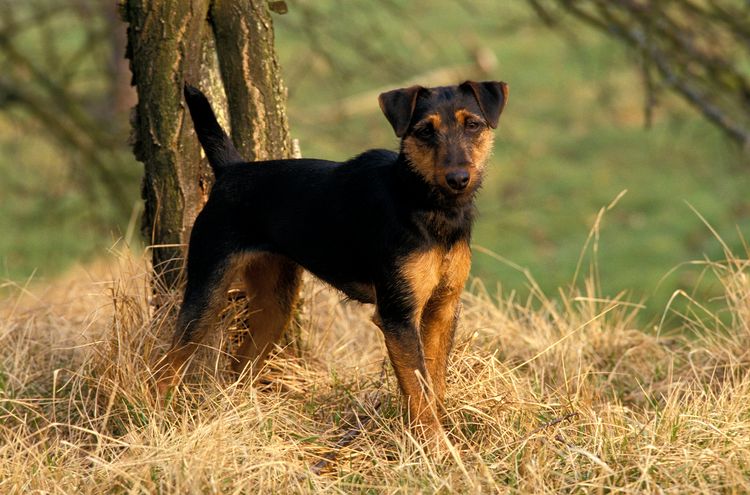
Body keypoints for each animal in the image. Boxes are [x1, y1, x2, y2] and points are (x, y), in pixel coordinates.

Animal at [159, 79, 512, 440]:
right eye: (425, 131)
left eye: (473, 124)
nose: (458, 179)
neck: (424, 202)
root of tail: (232, 170)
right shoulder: (398, 316)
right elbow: (419, 392)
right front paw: (434, 446)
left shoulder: (443, 307)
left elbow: (435, 385)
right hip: (207, 290)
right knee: (165, 367)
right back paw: (155, 418)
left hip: (275, 303)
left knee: (240, 366)